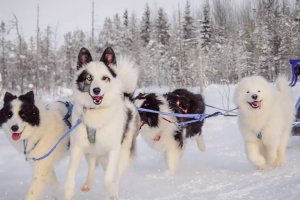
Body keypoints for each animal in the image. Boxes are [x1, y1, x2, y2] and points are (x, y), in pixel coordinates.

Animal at [64, 47, 139, 199]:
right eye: (89, 78)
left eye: (105, 78)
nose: (96, 90)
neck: (96, 112)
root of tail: (127, 98)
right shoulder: (77, 148)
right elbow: (70, 176)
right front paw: (68, 192)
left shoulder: (113, 151)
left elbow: (108, 179)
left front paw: (112, 192)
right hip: (91, 151)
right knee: (92, 165)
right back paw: (88, 183)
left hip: (123, 153)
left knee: (116, 175)